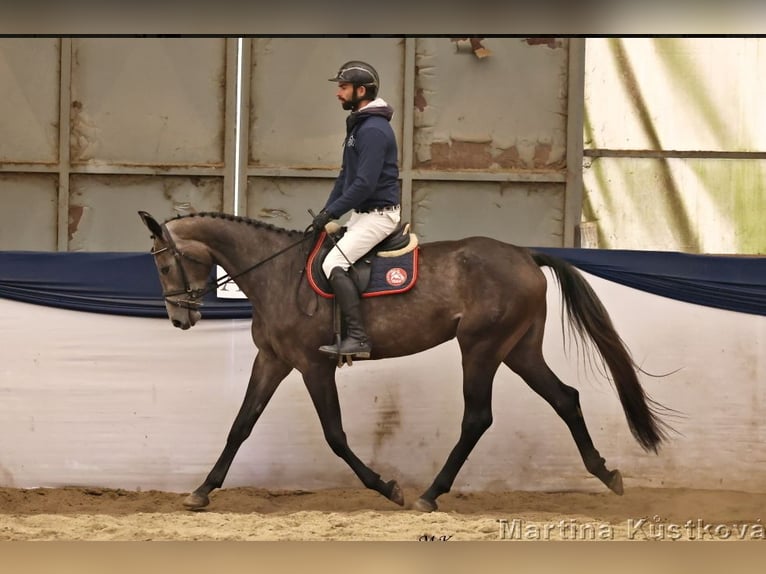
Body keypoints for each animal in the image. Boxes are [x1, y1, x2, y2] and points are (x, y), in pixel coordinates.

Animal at [138, 210, 670, 512]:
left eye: (163, 264)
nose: (180, 319)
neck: (278, 273)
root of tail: (524, 255)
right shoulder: (272, 360)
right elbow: (240, 425)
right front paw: (202, 490)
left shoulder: (313, 365)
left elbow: (335, 435)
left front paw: (385, 486)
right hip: (519, 349)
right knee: (565, 398)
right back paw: (607, 474)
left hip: (480, 348)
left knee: (478, 418)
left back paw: (429, 495)